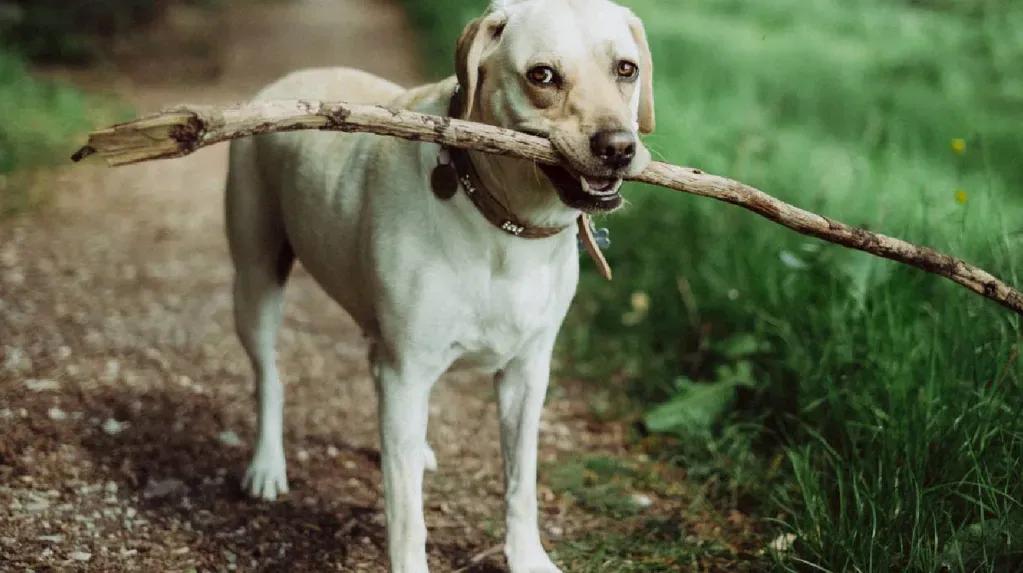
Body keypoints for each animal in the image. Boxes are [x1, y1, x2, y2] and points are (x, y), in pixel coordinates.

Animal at [225, 0, 654, 568]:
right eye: (542, 75)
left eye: (626, 69)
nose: (618, 147)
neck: (504, 223)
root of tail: (285, 81)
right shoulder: (408, 371)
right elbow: (408, 517)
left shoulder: (526, 373)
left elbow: (521, 482)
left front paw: (527, 556)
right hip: (255, 281)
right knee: (269, 376)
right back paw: (267, 466)